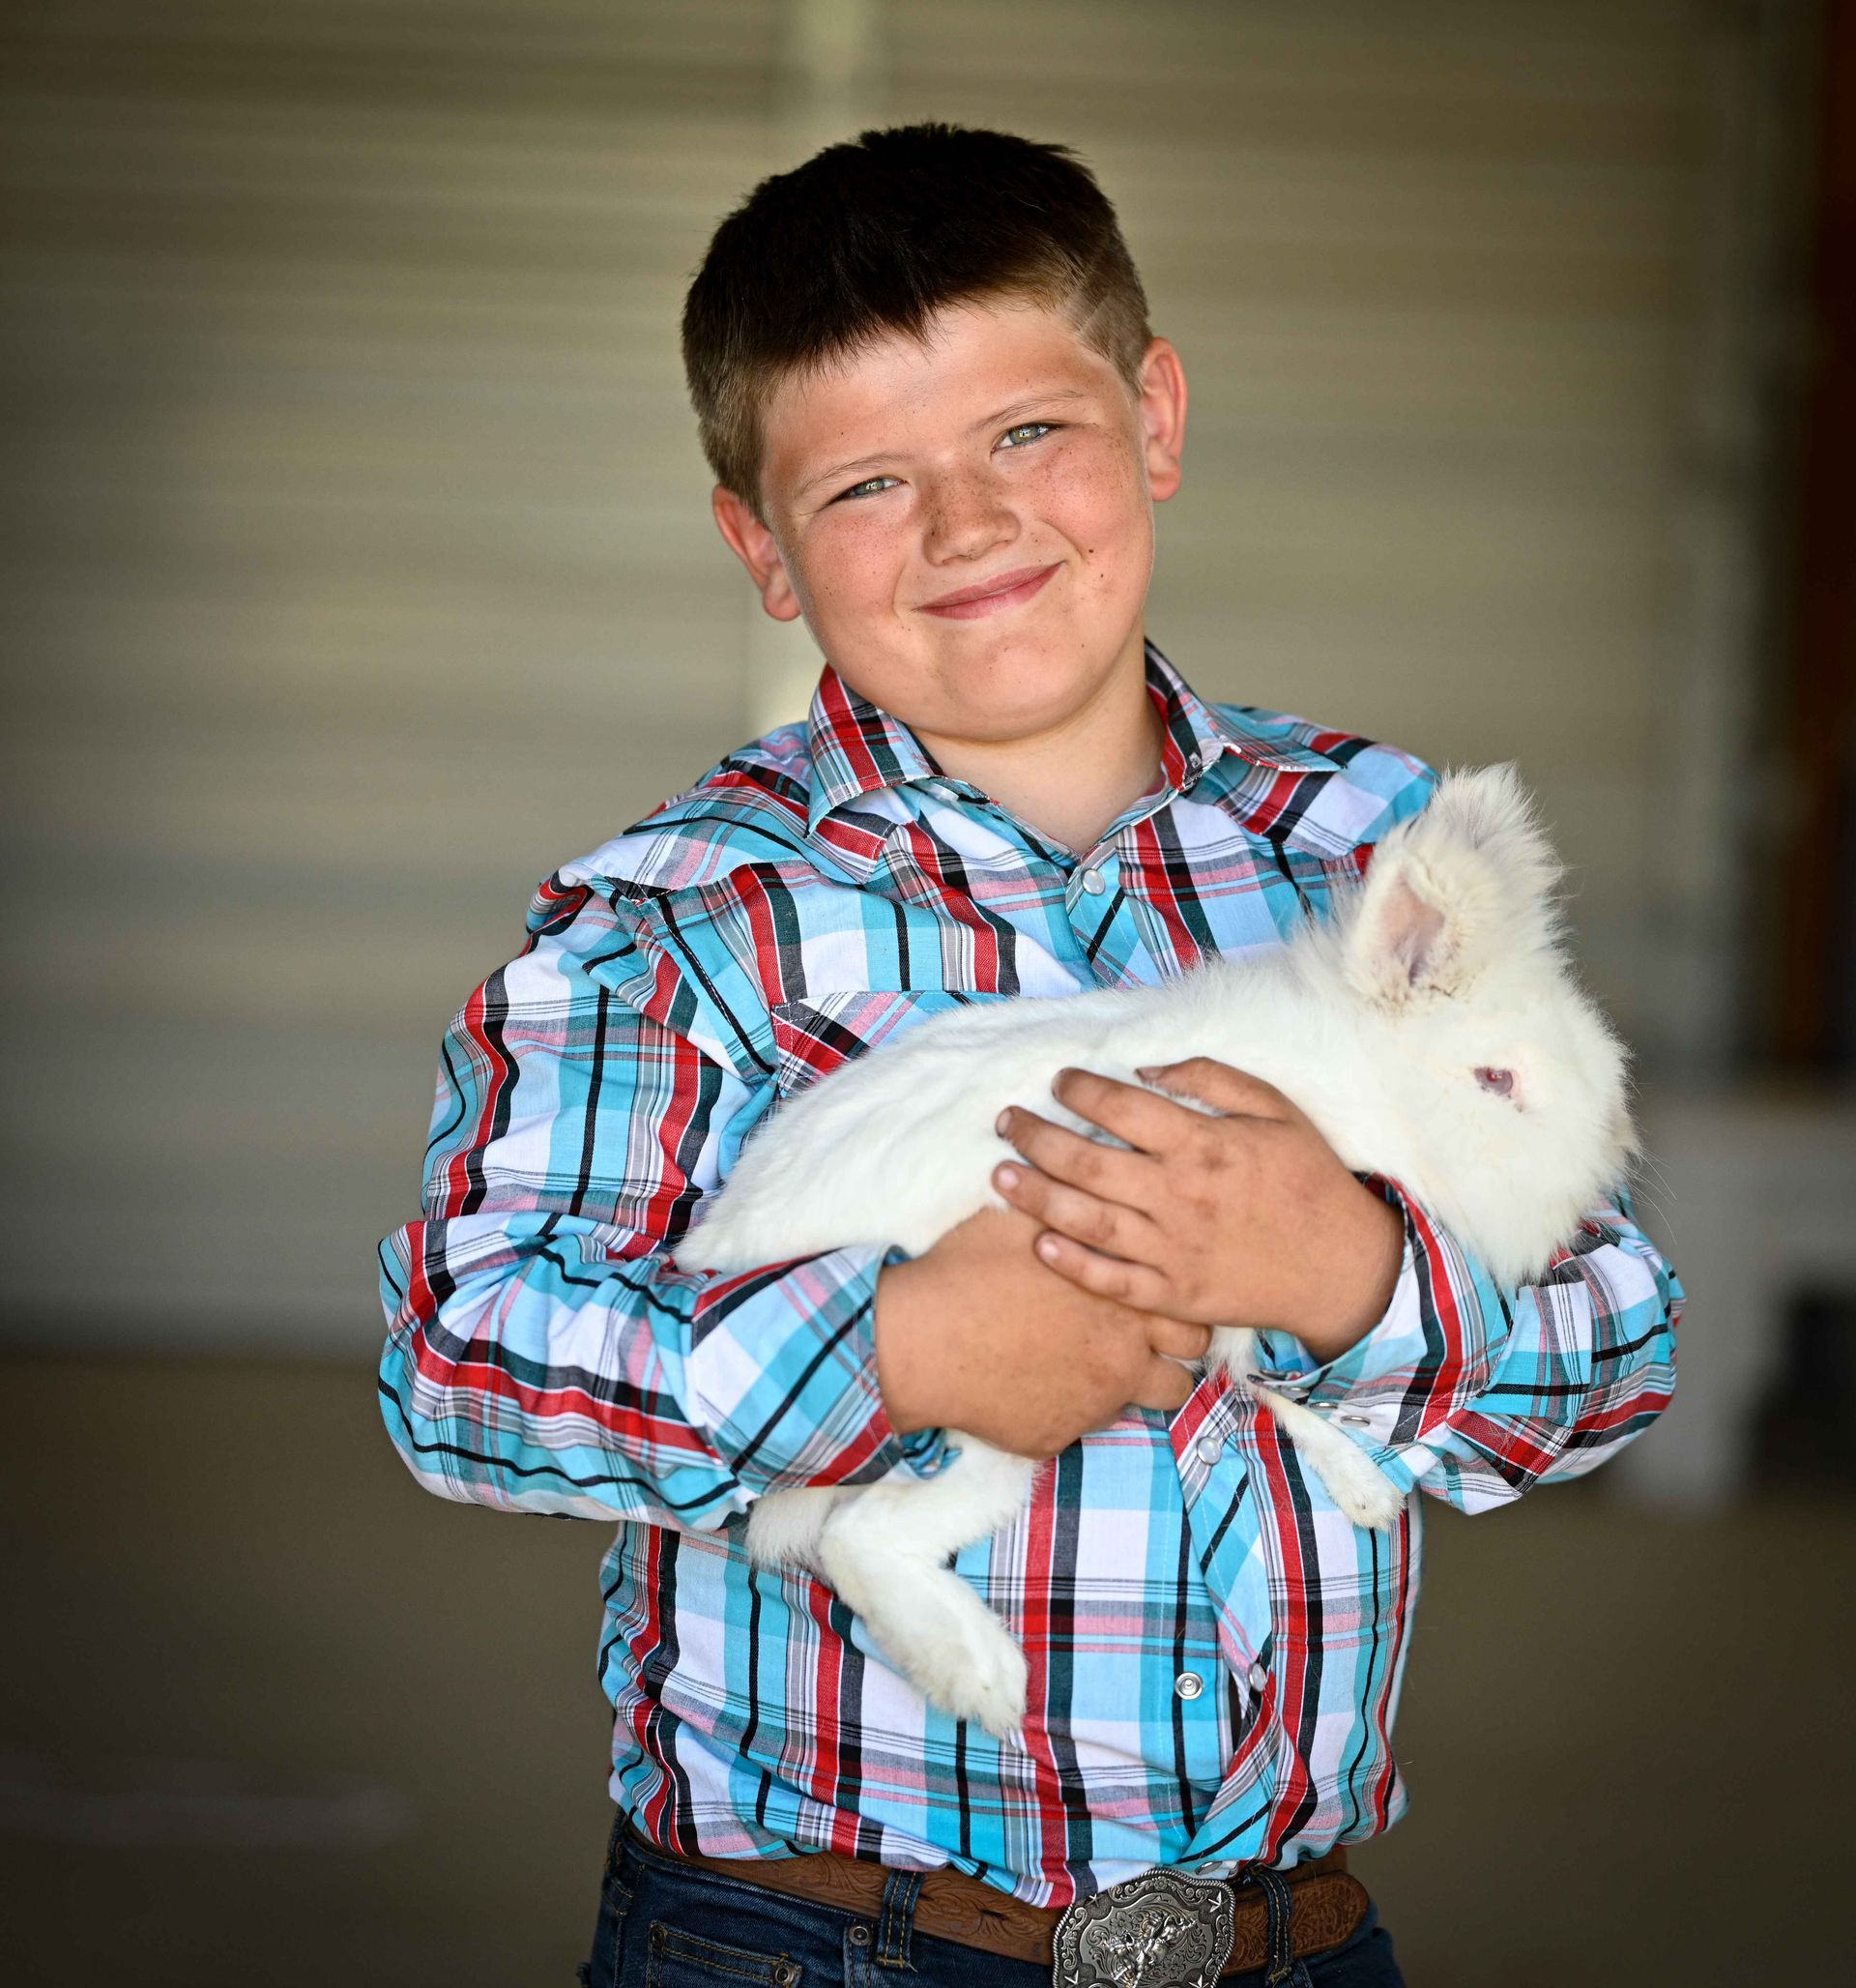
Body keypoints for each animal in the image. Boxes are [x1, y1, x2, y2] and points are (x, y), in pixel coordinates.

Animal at [676, 764, 1636, 1738]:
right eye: (1496, 1080)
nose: (1603, 1164)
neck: (1367, 1085)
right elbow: (1264, 1379)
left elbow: (1279, 1384)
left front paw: (1365, 1489)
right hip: (992, 1408)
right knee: (859, 1540)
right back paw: (985, 1679)